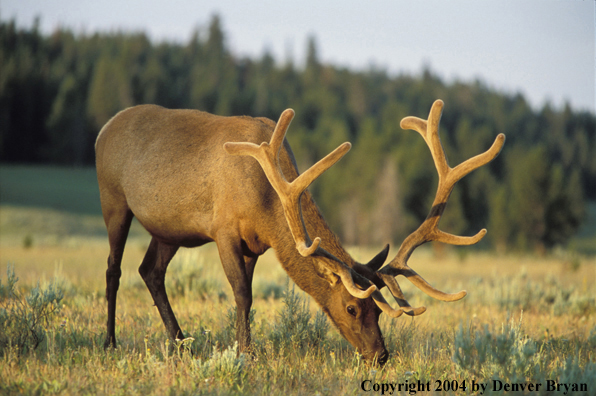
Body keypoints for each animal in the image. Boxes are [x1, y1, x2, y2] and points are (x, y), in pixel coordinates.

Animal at [95, 100, 506, 366]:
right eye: (352, 306)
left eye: (377, 307)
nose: (381, 355)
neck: (267, 203)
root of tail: (104, 128)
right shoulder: (224, 229)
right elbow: (242, 294)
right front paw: (246, 354)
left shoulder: (254, 245)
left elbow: (248, 295)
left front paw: (243, 349)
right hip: (113, 200)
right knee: (114, 269)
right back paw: (110, 342)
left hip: (168, 230)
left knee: (150, 271)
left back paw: (181, 342)